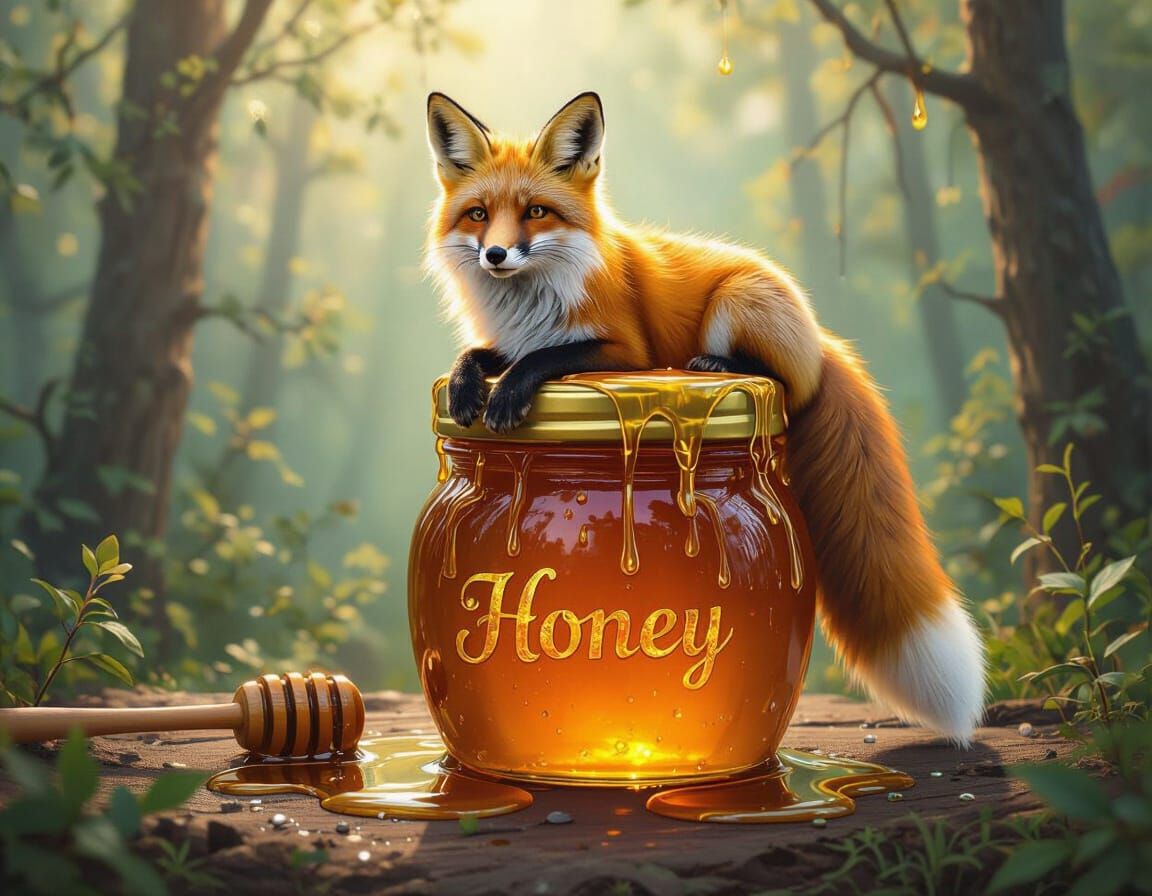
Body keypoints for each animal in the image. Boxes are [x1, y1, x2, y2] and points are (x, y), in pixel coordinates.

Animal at [423, 91, 986, 744]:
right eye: (479, 215)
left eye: (536, 212)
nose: (496, 254)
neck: (530, 304)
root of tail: (821, 338)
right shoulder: (507, 340)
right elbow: (478, 355)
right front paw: (467, 389)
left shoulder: (624, 350)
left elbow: (544, 359)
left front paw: (508, 395)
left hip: (735, 305)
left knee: (776, 377)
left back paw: (716, 363)